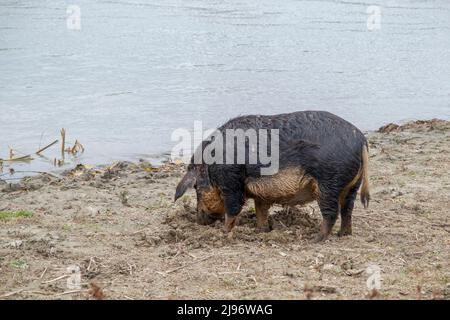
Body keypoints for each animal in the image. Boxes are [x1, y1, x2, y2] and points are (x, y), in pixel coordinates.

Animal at [174, 110, 370, 242]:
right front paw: (260, 231)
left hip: (329, 181)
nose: (199, 220)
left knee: (332, 213)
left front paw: (224, 232)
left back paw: (315, 239)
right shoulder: (260, 193)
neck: (210, 166)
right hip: (352, 184)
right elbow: (261, 210)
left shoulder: (231, 182)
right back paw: (343, 234)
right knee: (347, 209)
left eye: (196, 187)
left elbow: (233, 208)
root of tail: (360, 139)